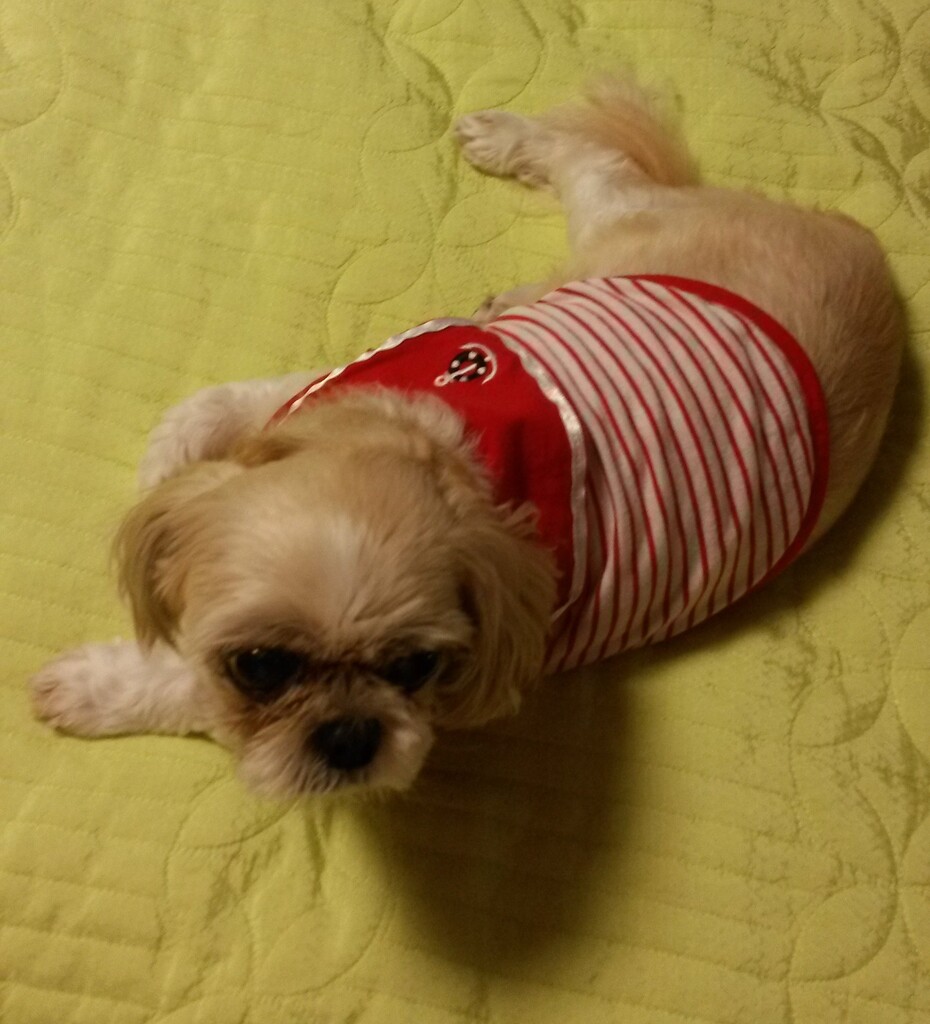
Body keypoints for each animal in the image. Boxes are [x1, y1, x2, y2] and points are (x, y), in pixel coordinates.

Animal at [30, 78, 904, 797]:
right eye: (264, 668)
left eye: (416, 667)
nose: (348, 738)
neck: (455, 456)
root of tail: (868, 249)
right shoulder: (338, 384)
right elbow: (203, 411)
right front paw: (171, 466)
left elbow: (189, 689)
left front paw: (102, 686)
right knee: (594, 163)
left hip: (627, 229)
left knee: (594, 160)